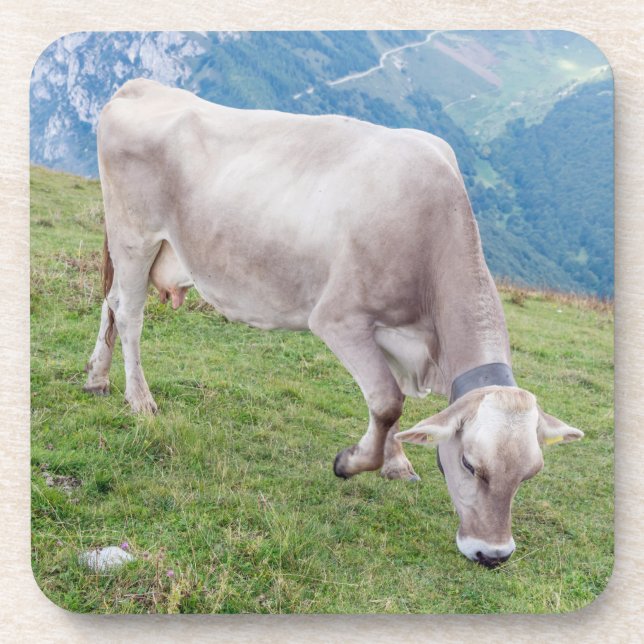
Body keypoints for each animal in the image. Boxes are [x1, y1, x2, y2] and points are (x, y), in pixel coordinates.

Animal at [84, 78, 583, 567]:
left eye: (530, 473)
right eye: (469, 465)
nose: (492, 554)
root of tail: (142, 86)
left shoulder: (391, 334)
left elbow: (395, 407)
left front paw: (395, 461)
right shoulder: (339, 318)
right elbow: (388, 401)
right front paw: (351, 462)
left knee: (110, 301)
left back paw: (97, 377)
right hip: (135, 236)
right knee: (129, 314)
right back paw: (140, 399)